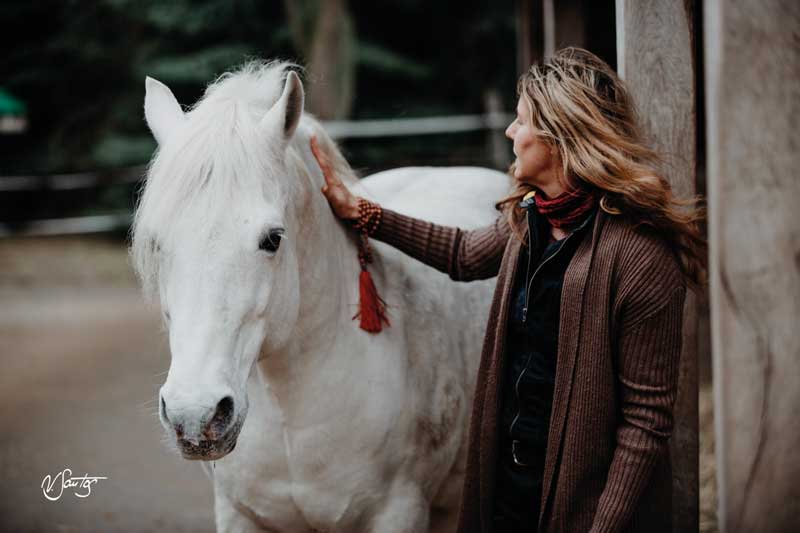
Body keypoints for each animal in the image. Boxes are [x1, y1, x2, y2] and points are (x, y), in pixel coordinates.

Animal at [130, 60, 506, 528]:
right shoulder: (238, 515)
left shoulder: (398, 513)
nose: (195, 415)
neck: (291, 412)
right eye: (157, 243)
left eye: (273, 239)